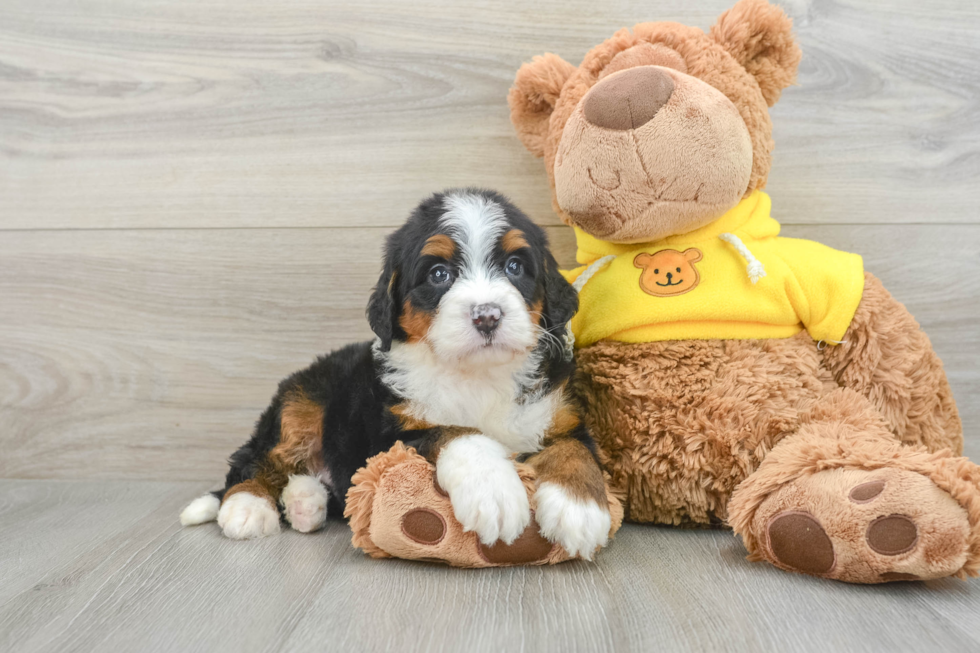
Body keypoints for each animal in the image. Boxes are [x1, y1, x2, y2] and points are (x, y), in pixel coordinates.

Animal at [182, 190, 612, 560]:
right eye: (438, 274)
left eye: (515, 267)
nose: (487, 315)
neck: (477, 375)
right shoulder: (389, 437)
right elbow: (456, 432)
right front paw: (494, 489)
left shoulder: (559, 413)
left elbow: (575, 449)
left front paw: (579, 508)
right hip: (303, 399)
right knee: (253, 458)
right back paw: (247, 506)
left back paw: (305, 501)